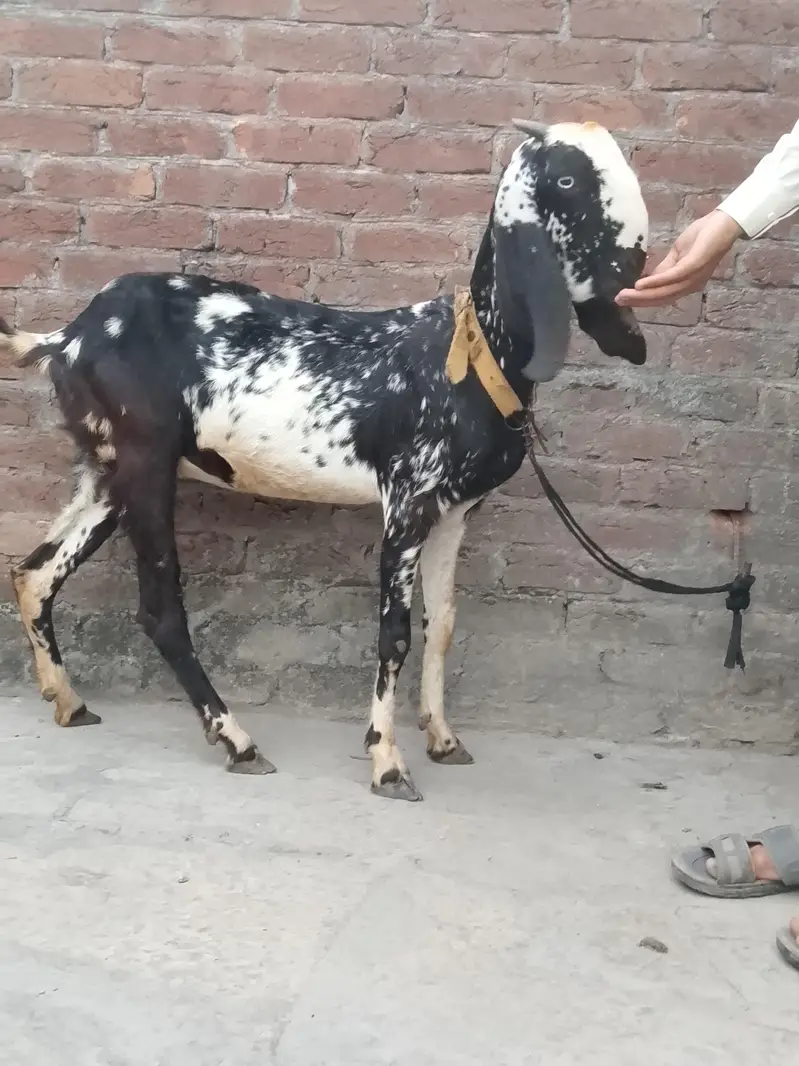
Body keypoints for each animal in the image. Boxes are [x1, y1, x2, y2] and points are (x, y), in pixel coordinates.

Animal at [0, 119, 649, 801]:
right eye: (569, 178)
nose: (634, 274)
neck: (473, 354)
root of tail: (66, 338)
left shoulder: (454, 511)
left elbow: (442, 622)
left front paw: (445, 741)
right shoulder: (407, 501)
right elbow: (395, 633)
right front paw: (388, 762)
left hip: (109, 469)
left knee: (36, 573)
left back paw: (70, 702)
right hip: (145, 459)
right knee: (159, 610)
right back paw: (238, 740)